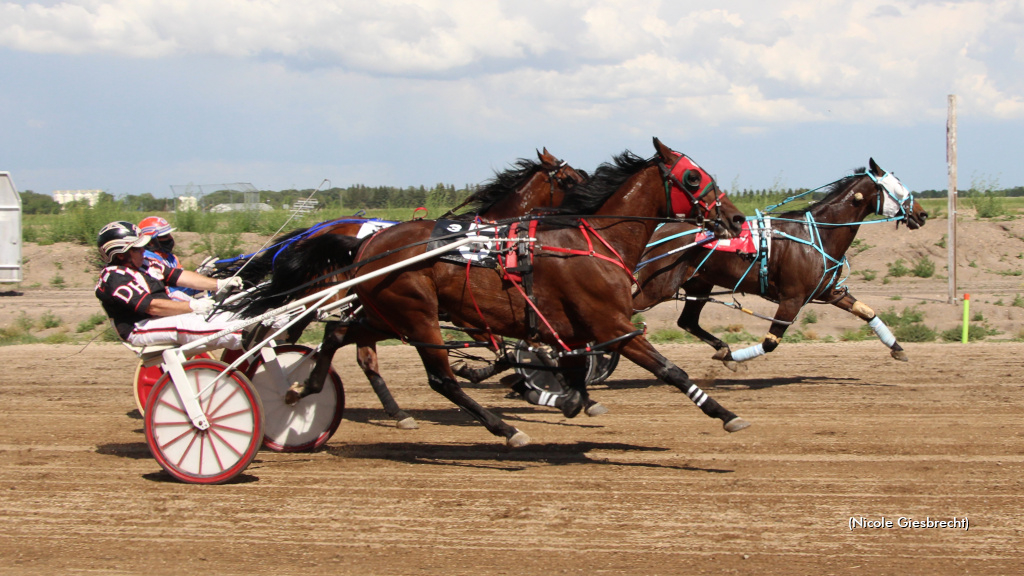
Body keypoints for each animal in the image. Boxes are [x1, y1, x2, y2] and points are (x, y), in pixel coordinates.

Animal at [235, 147, 589, 426]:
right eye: (569, 179)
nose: (588, 202)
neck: (486, 241)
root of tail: (318, 231)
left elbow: (517, 349)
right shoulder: (471, 315)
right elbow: (509, 349)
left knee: (346, 348)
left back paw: (394, 411)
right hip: (325, 300)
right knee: (280, 331)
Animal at [284, 136, 749, 446]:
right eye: (694, 177)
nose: (736, 218)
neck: (592, 240)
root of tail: (365, 244)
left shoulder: (574, 329)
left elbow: (570, 375)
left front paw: (559, 398)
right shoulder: (613, 326)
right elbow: (671, 371)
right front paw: (725, 413)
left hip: (387, 314)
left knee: (337, 335)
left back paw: (305, 388)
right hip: (417, 316)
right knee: (440, 379)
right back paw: (505, 429)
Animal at [630, 154, 929, 364]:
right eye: (897, 188)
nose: (922, 214)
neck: (818, 233)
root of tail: (658, 229)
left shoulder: (828, 291)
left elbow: (867, 311)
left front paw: (897, 348)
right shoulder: (792, 299)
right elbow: (771, 342)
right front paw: (732, 358)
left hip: (699, 284)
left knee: (688, 322)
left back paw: (721, 346)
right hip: (658, 287)